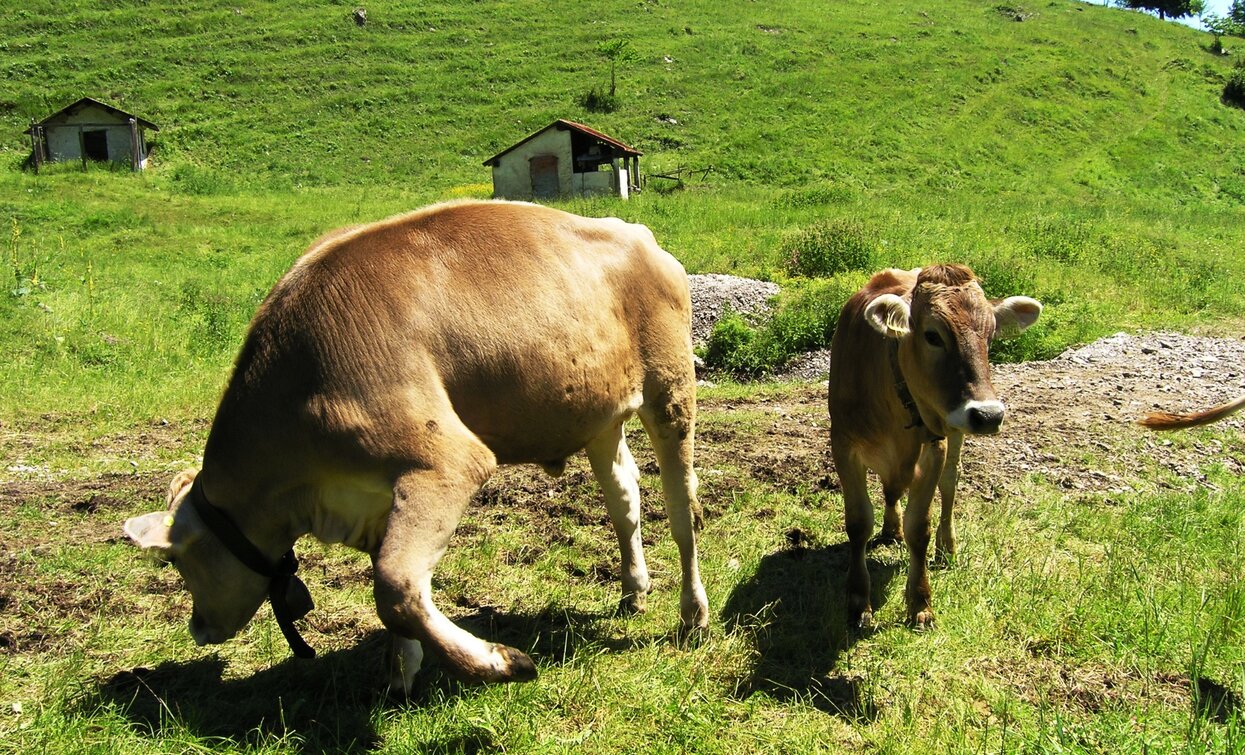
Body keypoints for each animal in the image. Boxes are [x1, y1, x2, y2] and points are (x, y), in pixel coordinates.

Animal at [123, 199, 709, 690]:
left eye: (175, 561)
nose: (198, 628)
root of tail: (634, 232)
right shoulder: (377, 494)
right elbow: (391, 579)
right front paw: (400, 674)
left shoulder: (447, 461)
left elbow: (394, 586)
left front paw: (500, 662)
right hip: (598, 411)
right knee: (624, 496)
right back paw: (634, 588)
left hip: (670, 385)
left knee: (682, 507)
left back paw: (693, 614)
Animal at [828, 264, 1041, 629]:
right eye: (932, 335)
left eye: (990, 336)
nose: (989, 415)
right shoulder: (843, 443)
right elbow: (858, 522)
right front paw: (858, 600)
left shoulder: (934, 448)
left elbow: (920, 528)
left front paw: (920, 601)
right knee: (891, 491)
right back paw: (891, 527)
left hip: (954, 432)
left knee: (950, 483)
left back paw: (947, 545)